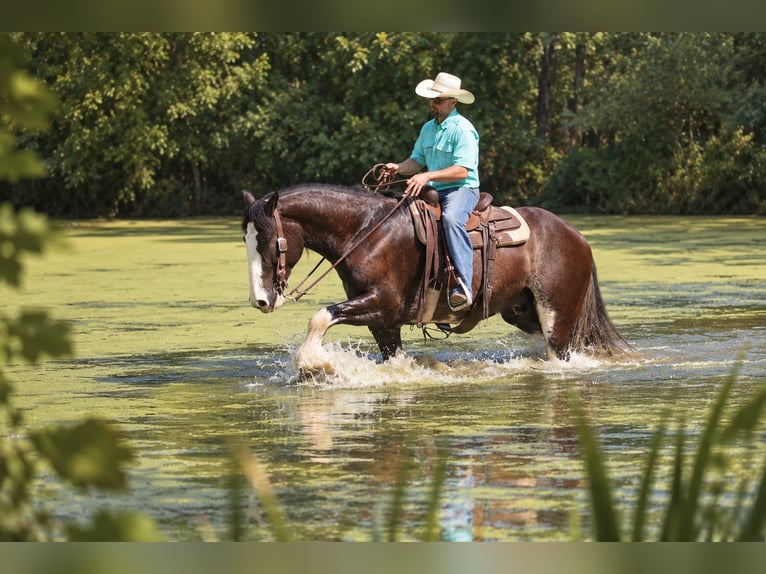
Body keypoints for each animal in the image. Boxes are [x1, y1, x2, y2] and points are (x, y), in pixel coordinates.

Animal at [242, 184, 629, 375]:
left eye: (267, 241)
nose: (260, 301)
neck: (366, 233)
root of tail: (578, 237)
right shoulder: (384, 323)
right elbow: (395, 358)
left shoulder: (383, 305)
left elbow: (321, 316)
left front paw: (314, 366)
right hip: (522, 311)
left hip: (555, 315)